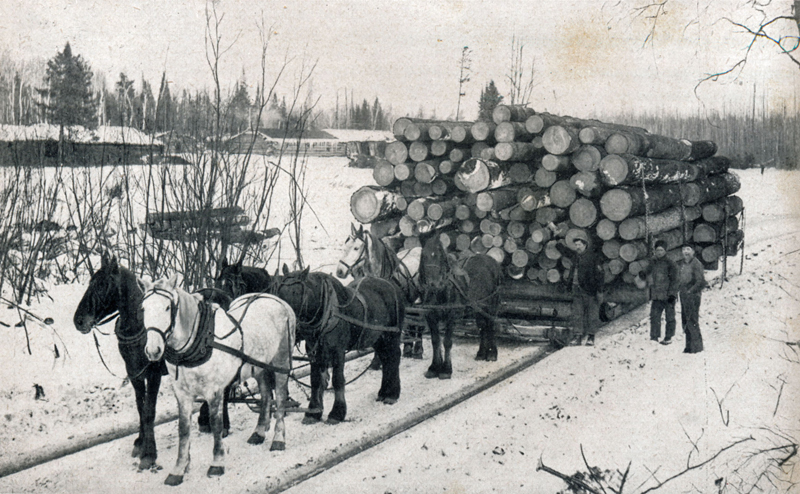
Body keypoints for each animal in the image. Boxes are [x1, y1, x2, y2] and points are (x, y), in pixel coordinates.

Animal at [72, 253, 166, 471]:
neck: (139, 327)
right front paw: (140, 443)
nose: (78, 320)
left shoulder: (153, 373)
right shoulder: (134, 372)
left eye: (101, 285)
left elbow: (149, 410)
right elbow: (140, 407)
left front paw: (150, 453)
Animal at [141, 274, 296, 485]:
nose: (153, 350)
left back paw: (279, 438)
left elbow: (216, 424)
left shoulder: (213, 391)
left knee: (279, 397)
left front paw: (217, 462)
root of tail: (278, 300)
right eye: (143, 308)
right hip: (259, 365)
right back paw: (259, 432)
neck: (200, 340)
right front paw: (179, 469)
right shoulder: (182, 393)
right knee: (265, 395)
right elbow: (183, 429)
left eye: (167, 308)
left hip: (281, 361)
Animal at [271, 265, 404, 424]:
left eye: (297, 293)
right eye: (279, 293)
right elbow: (315, 381)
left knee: (394, 359)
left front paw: (337, 413)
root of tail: (392, 285)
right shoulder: (314, 353)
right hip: (378, 338)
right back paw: (384, 392)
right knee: (385, 360)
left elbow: (337, 380)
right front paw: (313, 412)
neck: (325, 313)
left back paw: (392, 394)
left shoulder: (338, 352)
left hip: (392, 336)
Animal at [418, 234, 502, 379]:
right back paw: (481, 353)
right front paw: (434, 367)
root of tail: (492, 261)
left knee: (491, 325)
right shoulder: (430, 315)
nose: (434, 284)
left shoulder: (452, 316)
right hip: (478, 307)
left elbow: (447, 341)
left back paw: (492, 354)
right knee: (482, 326)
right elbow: (435, 341)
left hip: (491, 304)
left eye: (441, 255)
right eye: (424, 255)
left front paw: (446, 370)